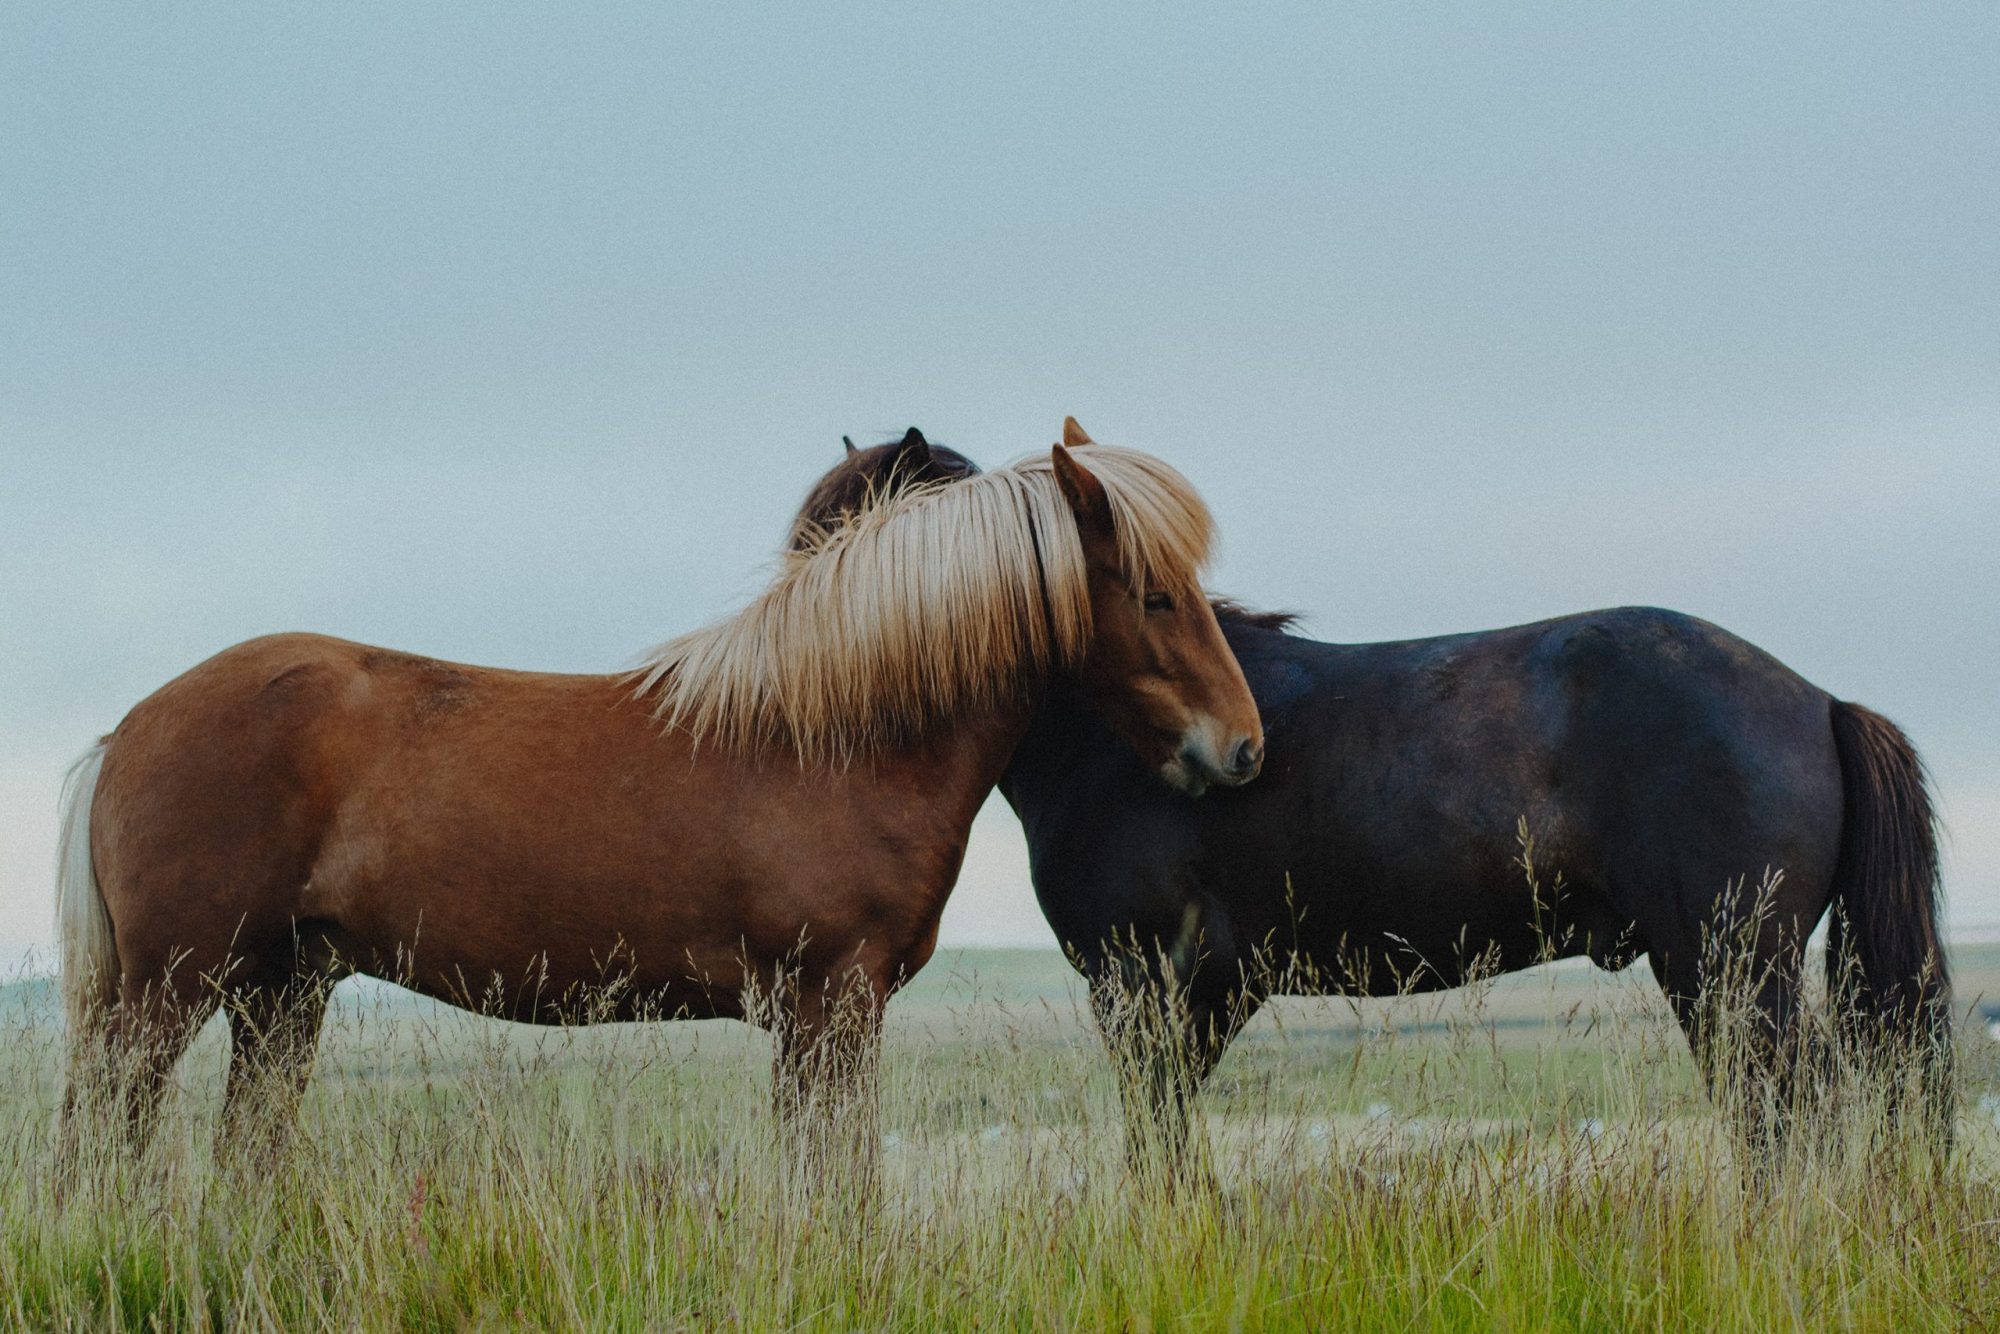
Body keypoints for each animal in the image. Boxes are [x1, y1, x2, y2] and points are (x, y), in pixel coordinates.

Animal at [54, 431, 1264, 1165]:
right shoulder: (834, 1007)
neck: (831, 734)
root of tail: (131, 729)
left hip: (281, 994)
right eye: (1156, 595)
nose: (1242, 747)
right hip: (164, 996)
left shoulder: (809, 1022)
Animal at [799, 421, 1951, 1176]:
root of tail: (1819, 700)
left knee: (1789, 1125)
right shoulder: (1200, 995)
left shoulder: (1135, 983)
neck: (1112, 736)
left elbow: (1155, 1147)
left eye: (839, 548)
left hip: (1731, 972)